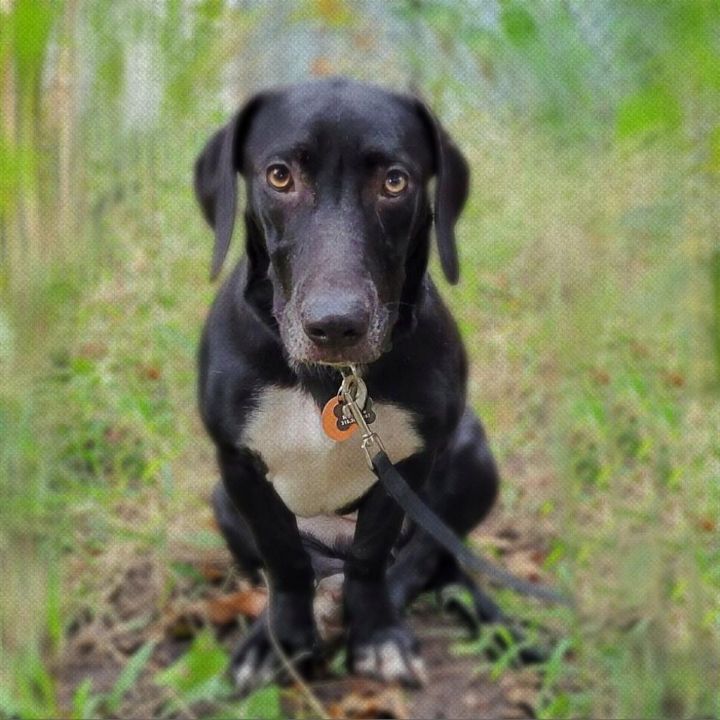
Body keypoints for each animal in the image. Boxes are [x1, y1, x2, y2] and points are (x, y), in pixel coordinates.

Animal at [194, 79, 504, 692]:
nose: (335, 326)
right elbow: (284, 559)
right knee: (308, 568)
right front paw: (283, 641)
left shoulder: (408, 460)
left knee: (418, 558)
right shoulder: (238, 467)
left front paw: (376, 635)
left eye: (394, 181)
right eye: (280, 175)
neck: (332, 380)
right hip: (222, 499)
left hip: (475, 457)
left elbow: (372, 556)